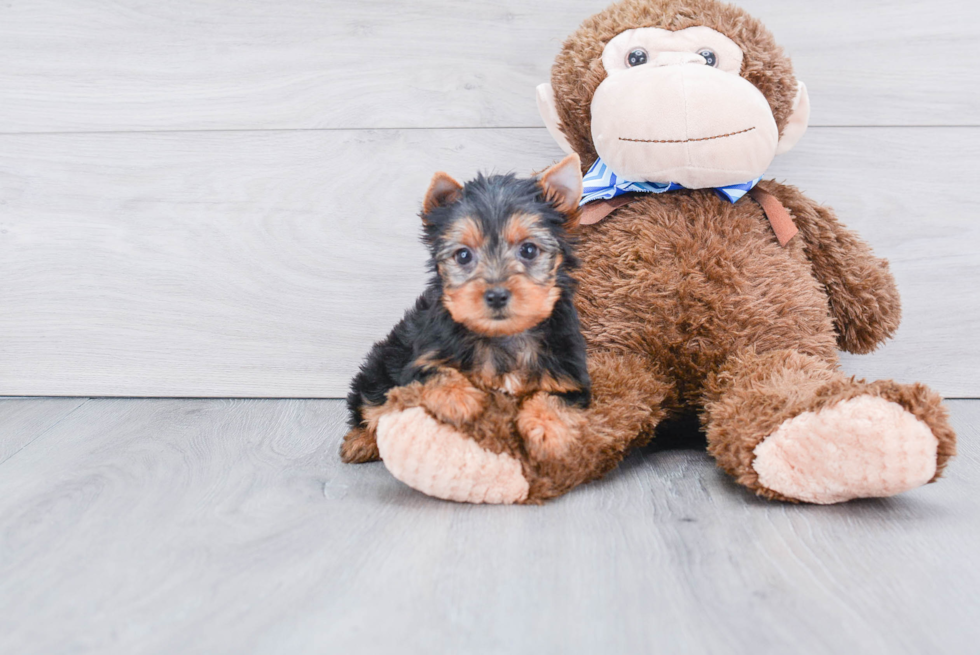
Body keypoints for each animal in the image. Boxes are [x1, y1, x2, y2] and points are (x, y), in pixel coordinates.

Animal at [344, 154, 588, 464]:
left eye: (529, 250)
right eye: (463, 255)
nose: (496, 295)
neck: (503, 337)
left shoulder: (571, 376)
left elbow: (556, 398)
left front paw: (547, 430)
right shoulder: (420, 358)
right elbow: (433, 372)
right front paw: (457, 398)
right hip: (383, 361)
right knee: (372, 401)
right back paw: (360, 441)